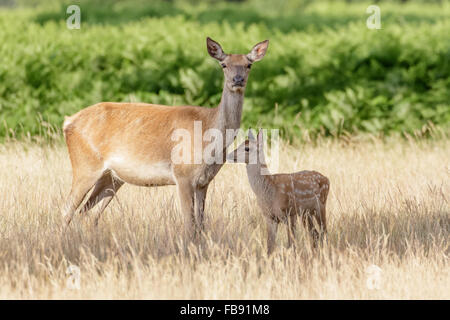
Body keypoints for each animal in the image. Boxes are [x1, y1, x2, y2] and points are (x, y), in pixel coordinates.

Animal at [61, 37, 268, 240]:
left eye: (248, 64)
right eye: (223, 64)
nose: (238, 79)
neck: (208, 130)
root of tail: (68, 121)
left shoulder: (204, 182)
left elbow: (201, 225)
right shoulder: (182, 175)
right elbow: (189, 225)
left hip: (111, 178)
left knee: (87, 214)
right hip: (85, 166)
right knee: (67, 210)